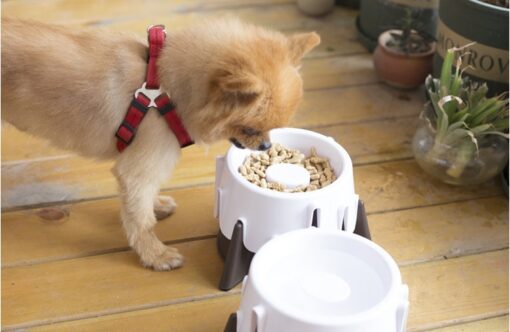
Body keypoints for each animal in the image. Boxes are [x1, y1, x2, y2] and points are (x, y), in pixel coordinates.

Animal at [0, 18, 318, 272]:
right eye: (251, 129)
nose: (265, 145)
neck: (164, 86)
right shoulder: (137, 170)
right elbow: (141, 219)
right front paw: (155, 255)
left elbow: (142, 201)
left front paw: (157, 205)